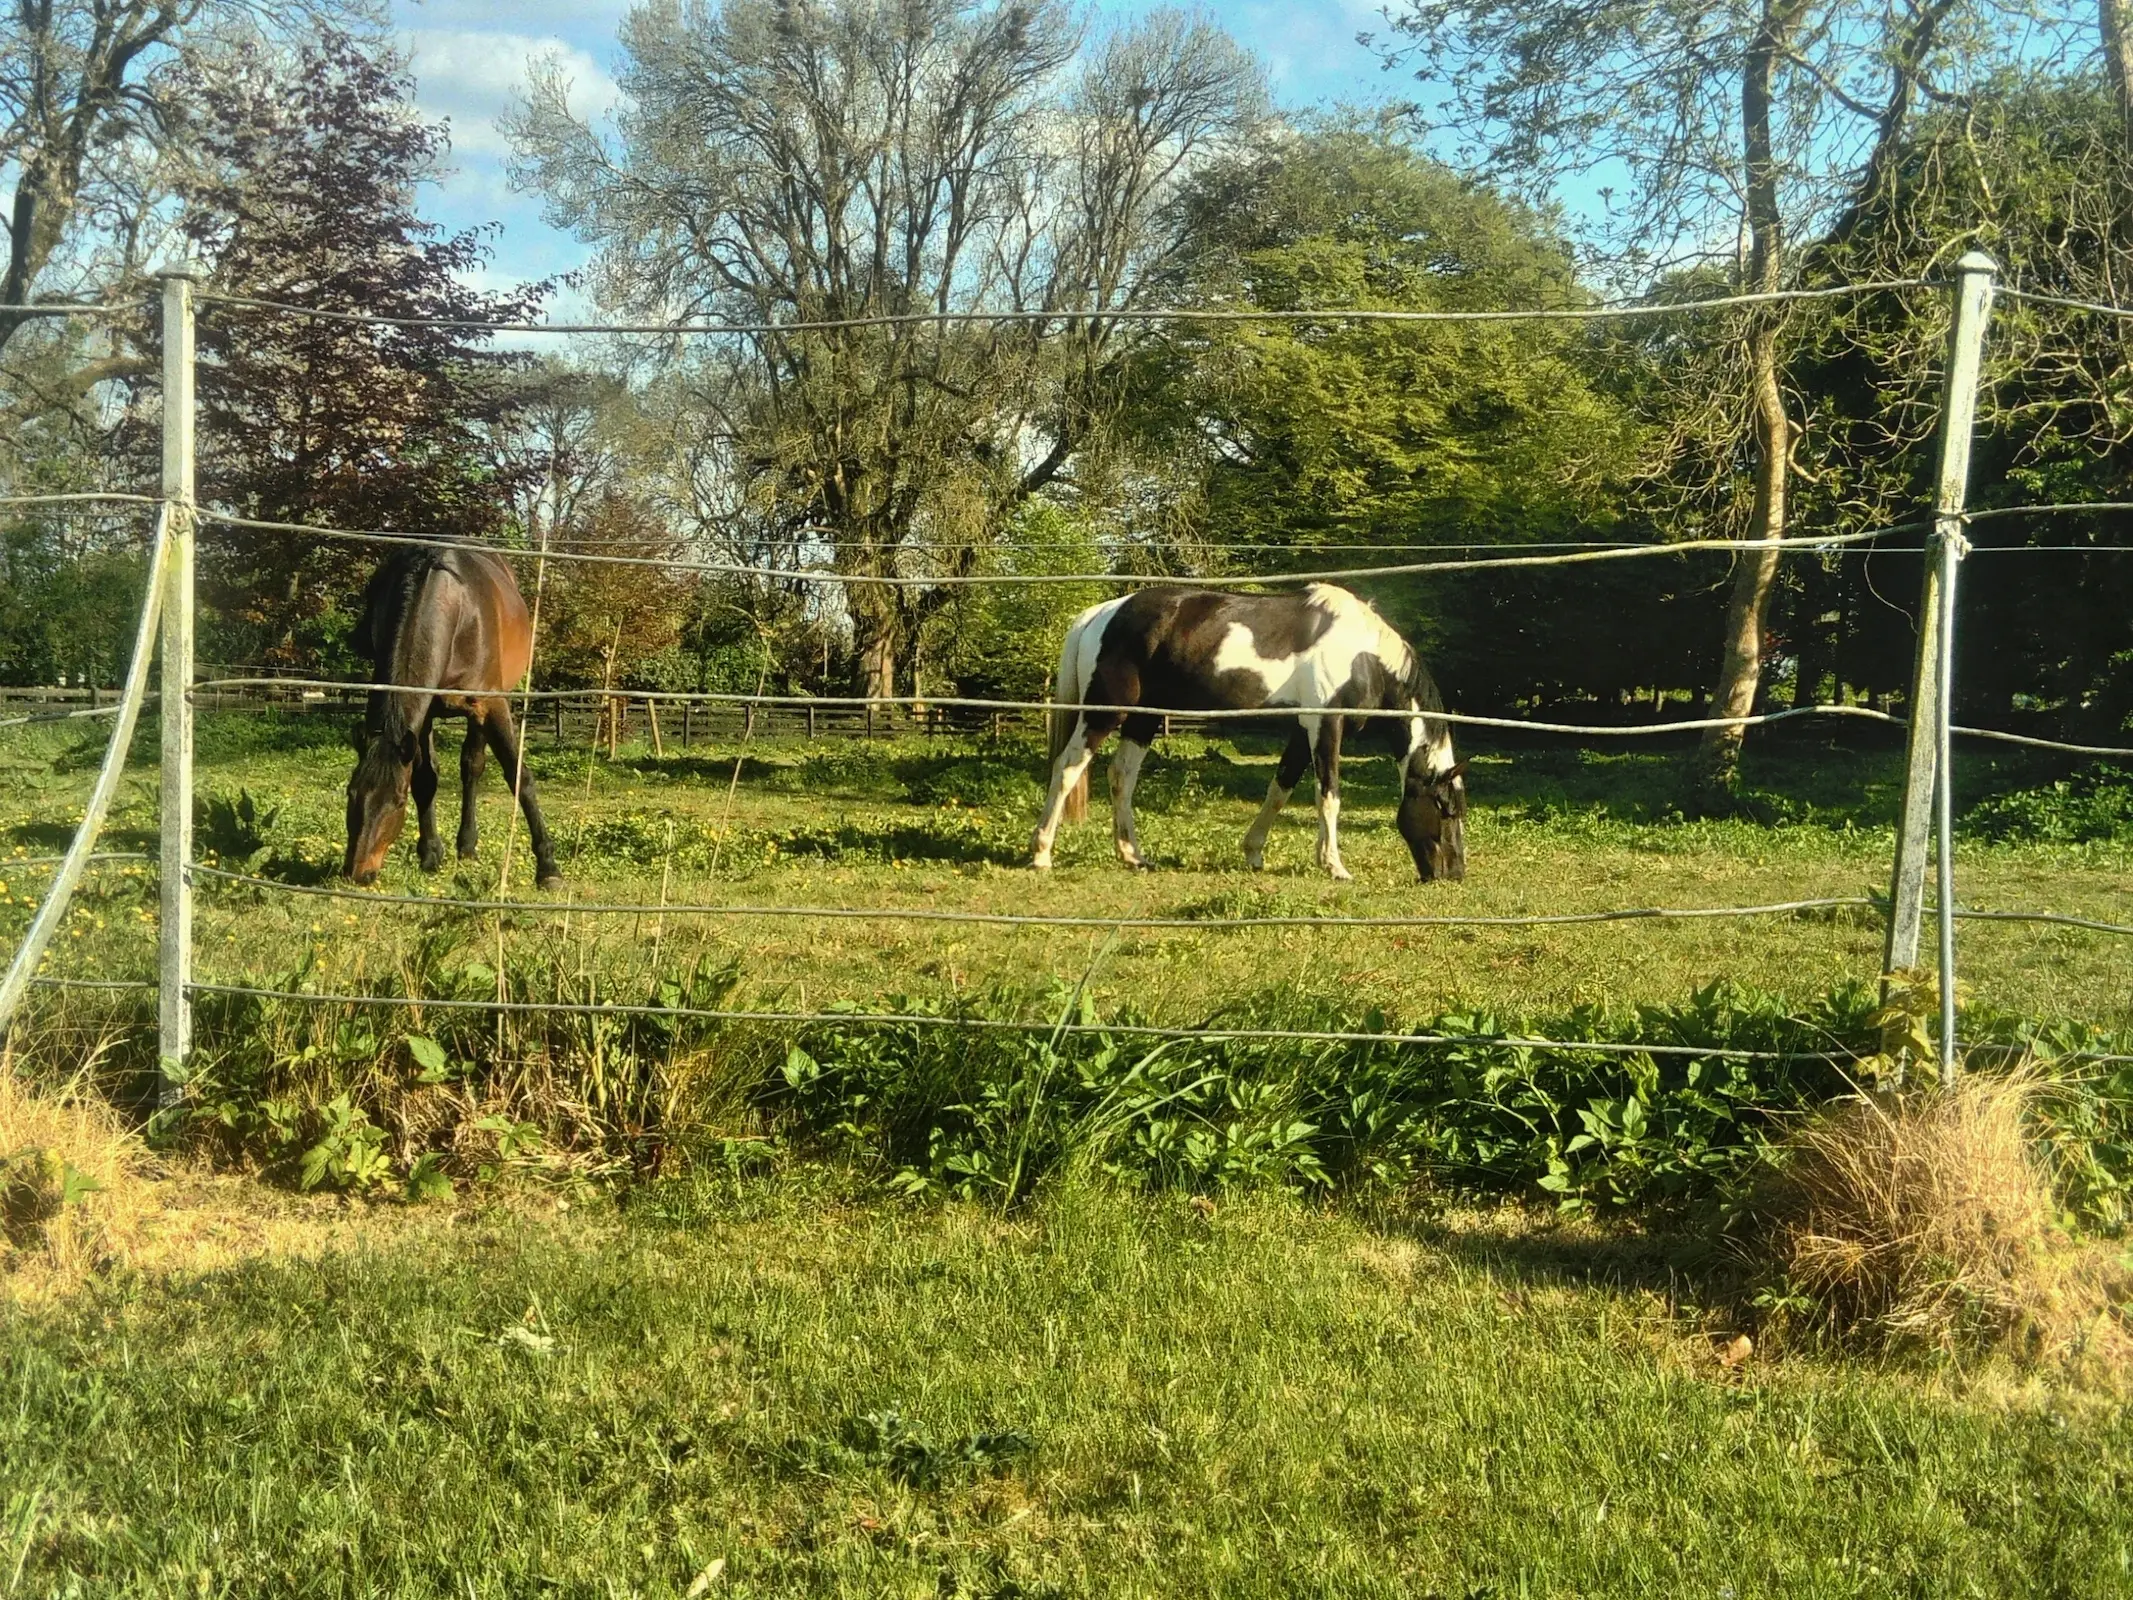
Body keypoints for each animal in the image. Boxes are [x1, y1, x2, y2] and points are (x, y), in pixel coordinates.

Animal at [339, 546, 563, 883]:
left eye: (397, 801)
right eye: (351, 793)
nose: (358, 873)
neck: (456, 611)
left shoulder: (492, 706)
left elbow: (518, 776)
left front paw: (548, 867)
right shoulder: (423, 715)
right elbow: (425, 779)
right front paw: (430, 854)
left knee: (473, 766)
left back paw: (468, 846)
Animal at [1028, 584, 1467, 883]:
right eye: (1444, 808)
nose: (1454, 873)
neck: (1362, 655)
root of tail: (1102, 613)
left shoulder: (1300, 732)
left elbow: (1279, 791)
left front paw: (1254, 854)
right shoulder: (1326, 726)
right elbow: (1329, 797)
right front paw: (1334, 865)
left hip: (1142, 720)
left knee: (1121, 776)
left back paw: (1133, 856)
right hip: (1104, 714)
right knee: (1067, 770)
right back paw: (1041, 854)